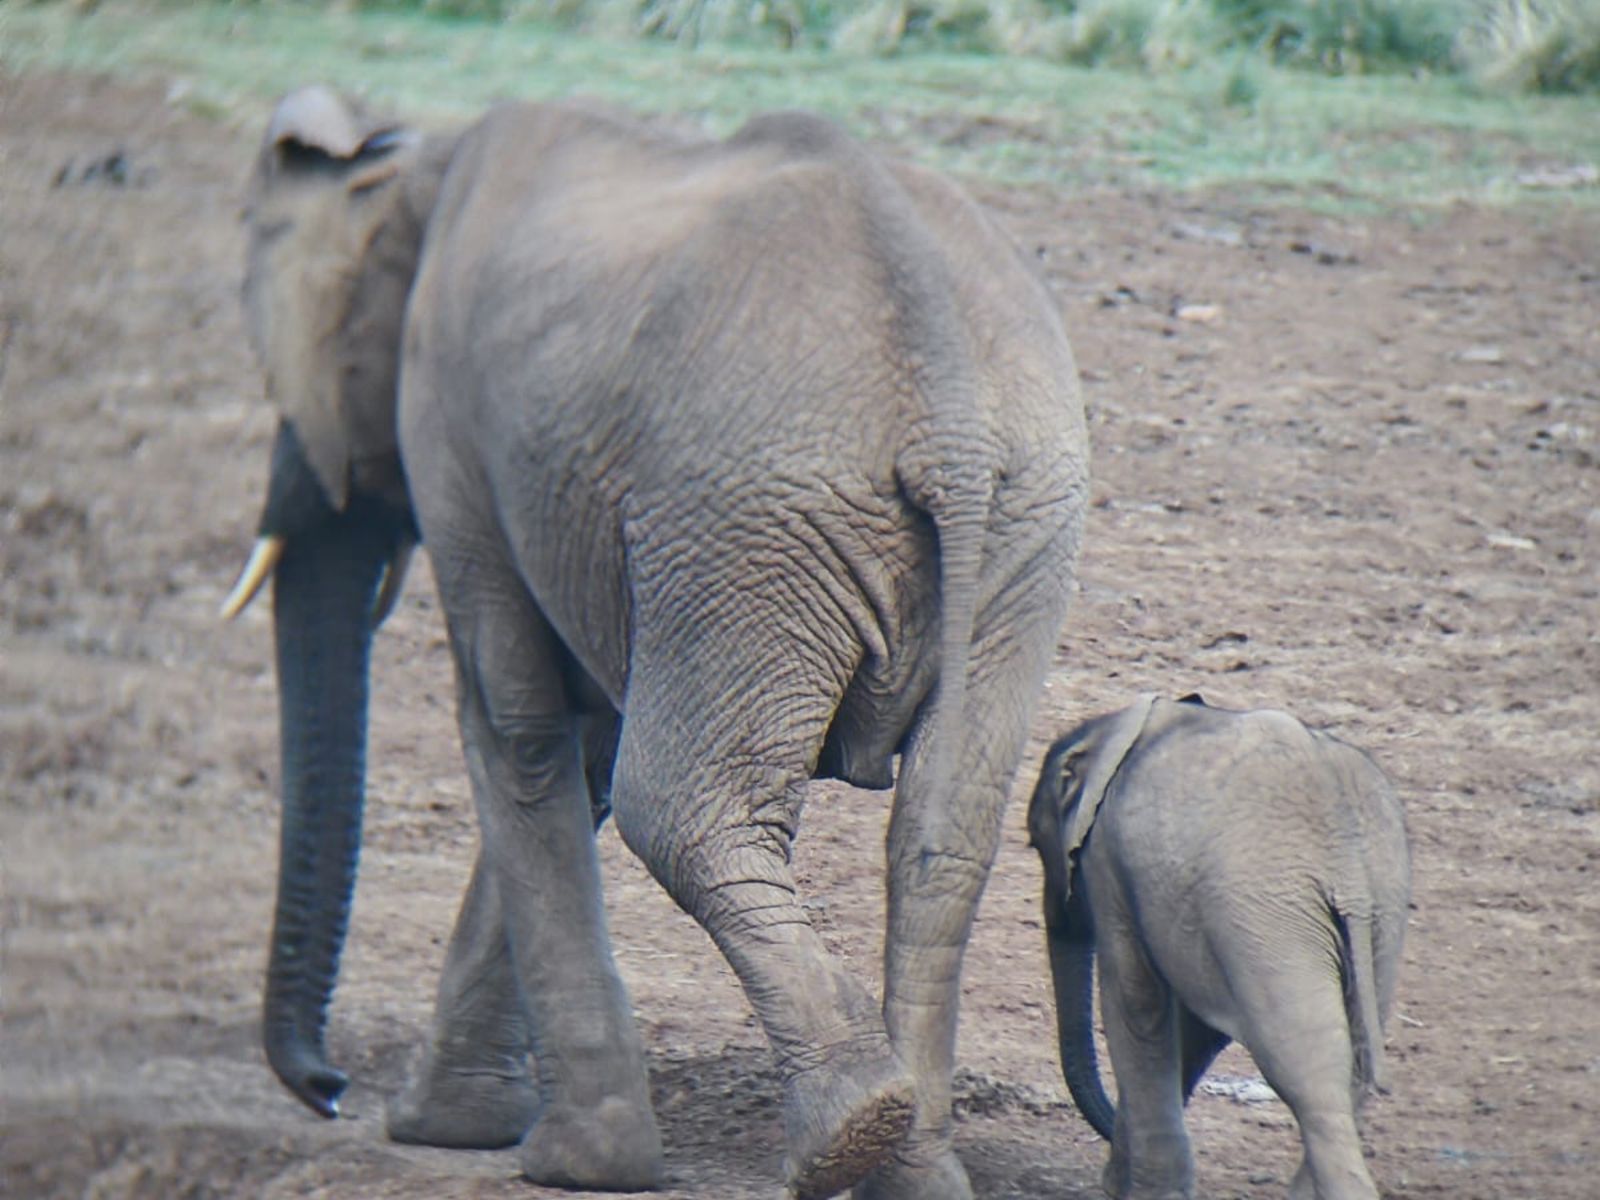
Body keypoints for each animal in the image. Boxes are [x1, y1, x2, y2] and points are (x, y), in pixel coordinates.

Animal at [225, 86, 1088, 1200]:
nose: (328, 1088)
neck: (419, 157)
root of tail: (949, 418)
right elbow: (577, 748)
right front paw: (452, 1125)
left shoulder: (453, 431)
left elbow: (519, 729)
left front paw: (561, 1158)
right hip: (1019, 527)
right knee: (944, 832)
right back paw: (912, 1168)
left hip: (744, 524)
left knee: (678, 807)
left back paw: (849, 1133)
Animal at [1030, 694, 1408, 1200]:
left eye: (1035, 843)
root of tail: (1348, 865)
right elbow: (1196, 1030)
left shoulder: (1108, 858)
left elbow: (1137, 1002)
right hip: (1380, 910)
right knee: (1354, 1063)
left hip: (1270, 910)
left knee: (1309, 1073)